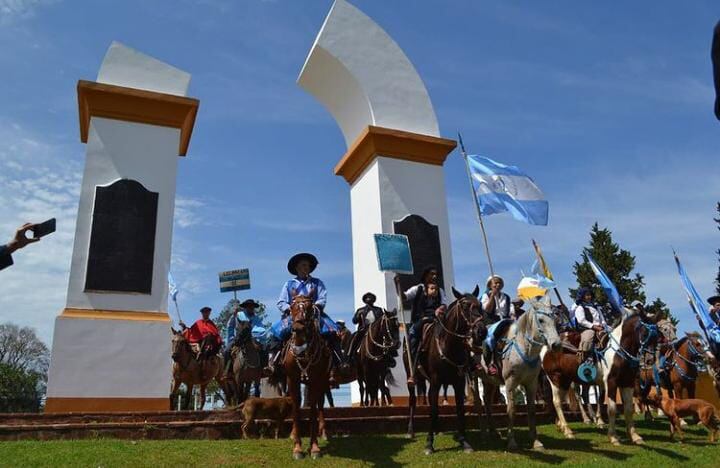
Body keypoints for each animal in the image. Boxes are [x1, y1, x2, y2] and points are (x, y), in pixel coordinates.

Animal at [286, 294, 334, 458]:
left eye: (309, 308)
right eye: (292, 307)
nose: (298, 328)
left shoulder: (316, 380)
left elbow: (313, 409)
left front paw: (314, 447)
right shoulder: (292, 380)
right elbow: (295, 409)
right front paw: (297, 448)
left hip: (323, 382)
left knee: (320, 404)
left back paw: (324, 432)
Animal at [404, 286, 484, 454]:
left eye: (480, 305)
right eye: (465, 305)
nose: (481, 331)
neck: (449, 345)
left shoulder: (458, 383)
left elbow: (459, 410)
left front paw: (464, 441)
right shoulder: (435, 381)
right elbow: (433, 410)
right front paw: (429, 444)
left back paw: (437, 429)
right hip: (412, 376)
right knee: (413, 400)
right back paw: (410, 430)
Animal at [600, 308, 660, 444]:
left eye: (657, 337)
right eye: (644, 334)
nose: (649, 360)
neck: (619, 351)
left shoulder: (628, 382)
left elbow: (628, 409)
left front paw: (634, 436)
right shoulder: (611, 382)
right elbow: (612, 409)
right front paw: (613, 437)